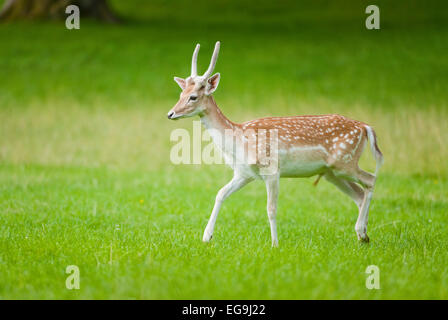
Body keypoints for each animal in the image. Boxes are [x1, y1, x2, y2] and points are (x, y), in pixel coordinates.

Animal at [166, 42, 384, 248]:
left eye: (193, 97)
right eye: (180, 94)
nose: (170, 113)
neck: (239, 141)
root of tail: (365, 127)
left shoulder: (271, 169)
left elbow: (271, 208)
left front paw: (274, 244)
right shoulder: (244, 173)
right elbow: (220, 194)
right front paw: (206, 237)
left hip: (344, 161)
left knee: (370, 179)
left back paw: (361, 231)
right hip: (331, 172)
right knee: (359, 194)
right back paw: (363, 236)